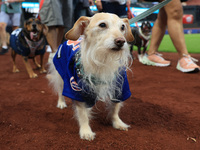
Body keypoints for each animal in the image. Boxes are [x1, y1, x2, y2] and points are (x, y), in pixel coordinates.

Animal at [47, 12, 134, 141]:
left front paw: (117, 123)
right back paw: (61, 103)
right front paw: (86, 131)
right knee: (60, 91)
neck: (103, 59)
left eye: (122, 27)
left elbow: (115, 108)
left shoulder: (120, 89)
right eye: (102, 25)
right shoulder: (77, 91)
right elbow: (83, 114)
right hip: (61, 77)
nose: (121, 41)